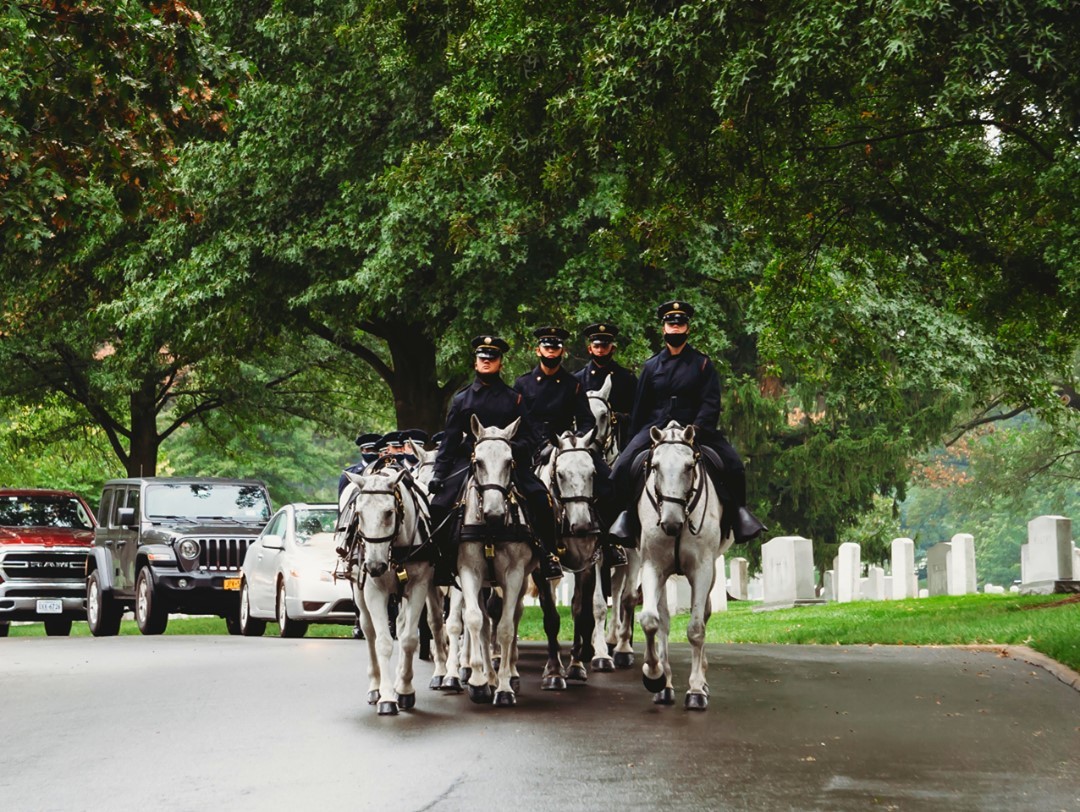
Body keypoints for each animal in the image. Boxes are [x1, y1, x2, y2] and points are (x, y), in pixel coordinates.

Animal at [343, 466, 449, 712]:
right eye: (359, 514)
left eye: (389, 512)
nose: (374, 566)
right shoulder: (374, 591)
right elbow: (382, 641)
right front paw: (387, 697)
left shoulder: (419, 586)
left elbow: (409, 638)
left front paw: (405, 690)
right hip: (360, 592)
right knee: (369, 631)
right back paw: (375, 686)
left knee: (433, 622)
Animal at [455, 414, 540, 708]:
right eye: (477, 461)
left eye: (509, 461)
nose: (494, 514)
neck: (490, 531)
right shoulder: (469, 572)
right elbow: (474, 621)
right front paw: (479, 681)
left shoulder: (514, 575)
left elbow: (505, 628)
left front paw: (503, 687)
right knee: (482, 624)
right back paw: (487, 676)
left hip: (522, 579)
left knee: (513, 617)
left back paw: (509, 673)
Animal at [535, 427, 604, 686]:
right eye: (561, 474)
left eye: (592, 473)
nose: (582, 526)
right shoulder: (541, 570)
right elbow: (552, 618)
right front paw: (554, 671)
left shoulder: (586, 565)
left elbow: (581, 612)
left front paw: (578, 661)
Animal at [635, 421, 730, 708]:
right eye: (655, 466)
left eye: (689, 466)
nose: (671, 523)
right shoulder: (652, 567)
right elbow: (650, 621)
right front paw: (653, 675)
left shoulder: (702, 570)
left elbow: (696, 629)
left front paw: (697, 689)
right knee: (664, 620)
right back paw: (665, 685)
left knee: (705, 613)